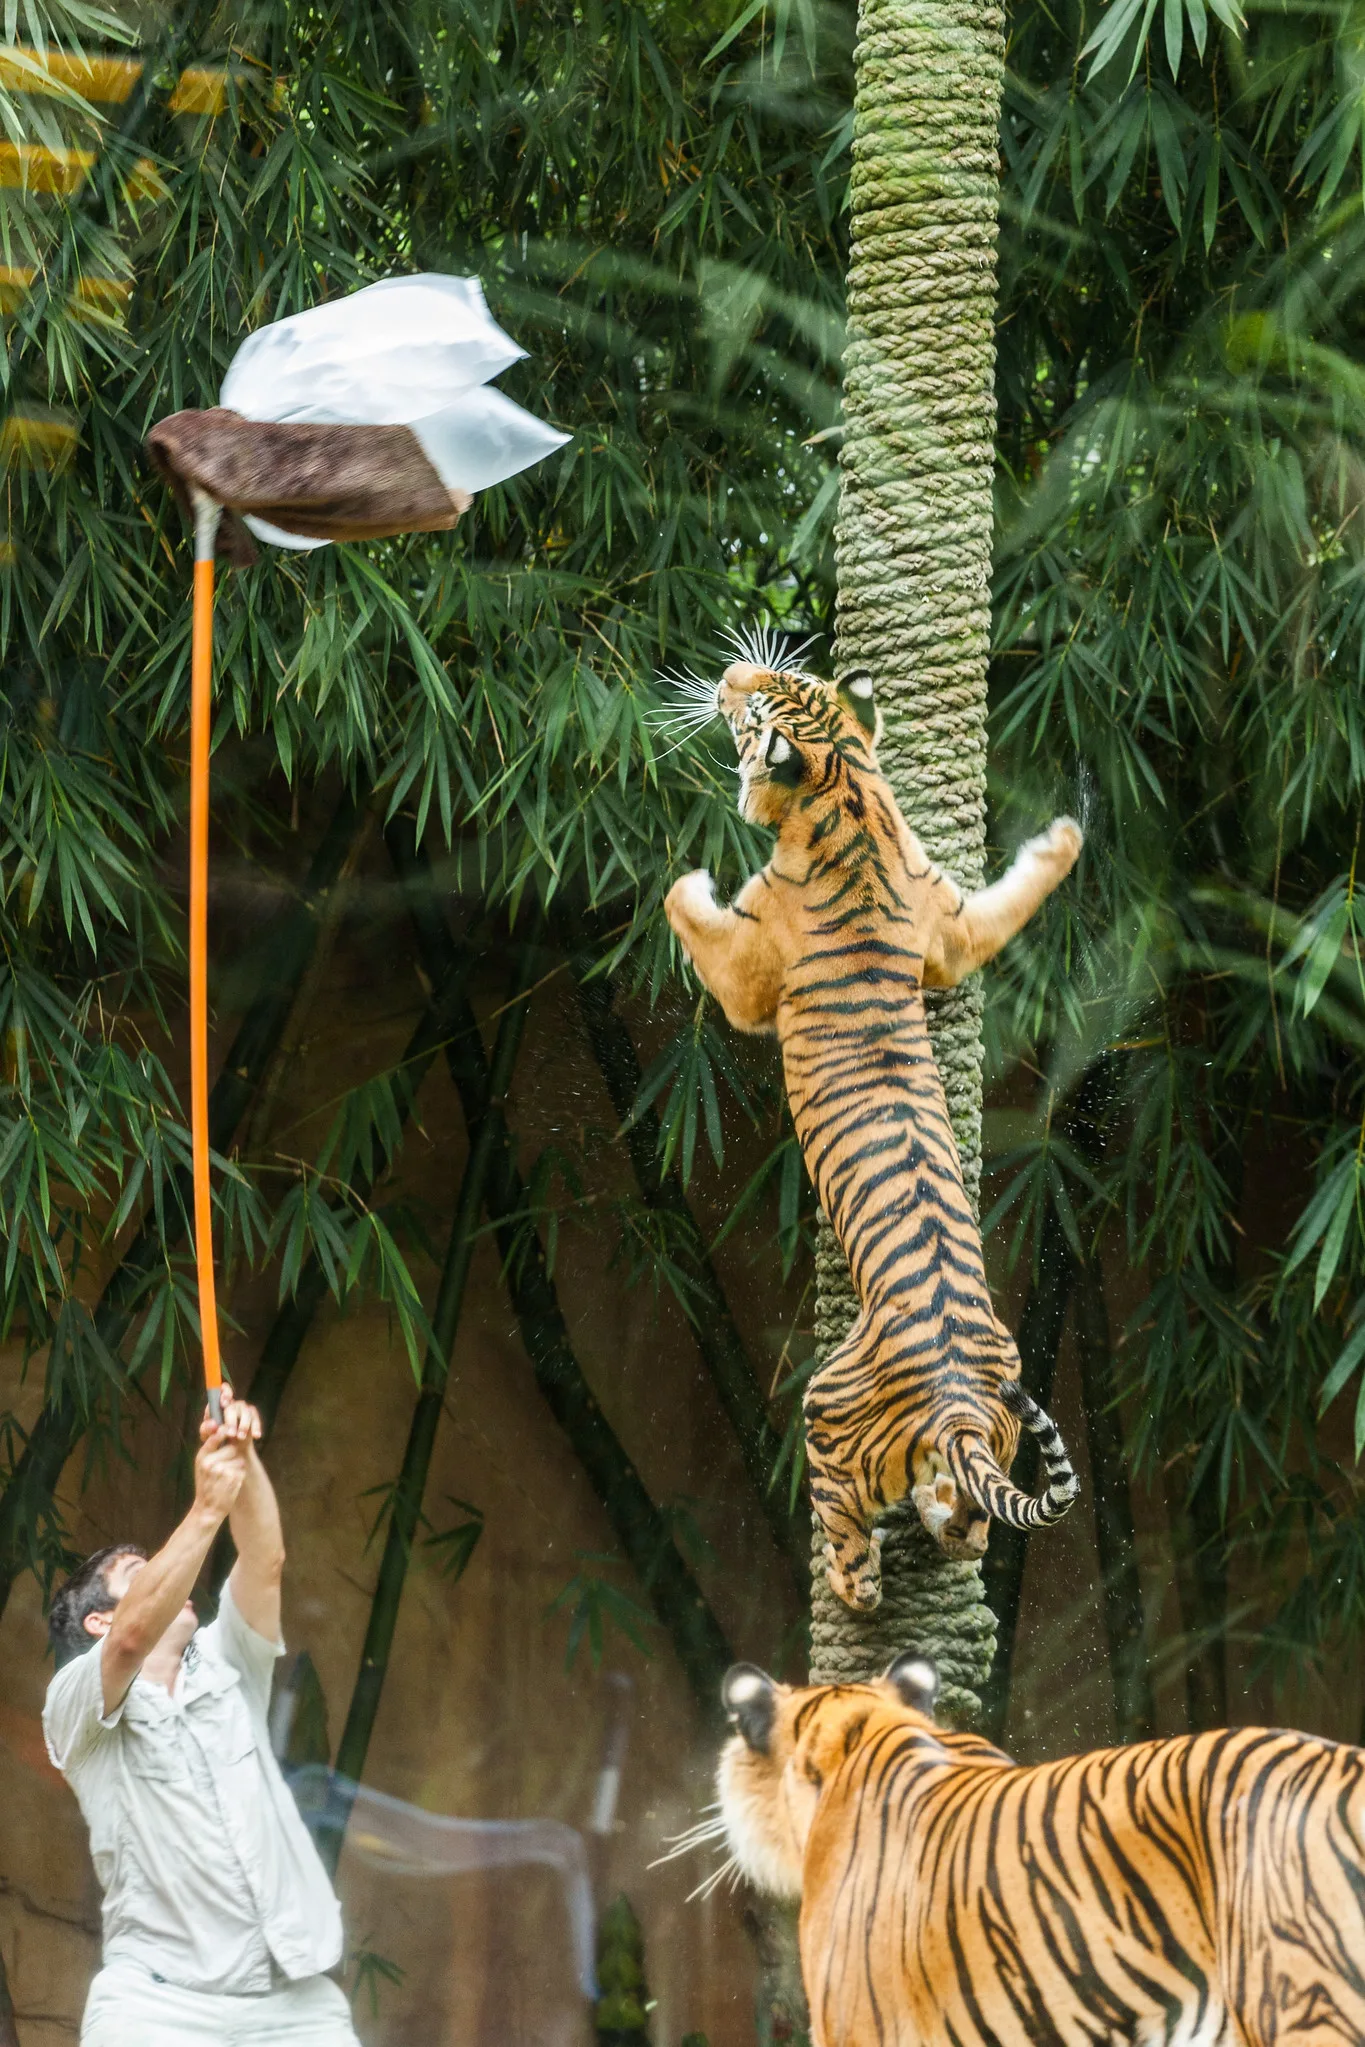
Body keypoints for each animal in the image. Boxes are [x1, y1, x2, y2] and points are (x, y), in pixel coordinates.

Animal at [663, 654, 1082, 1611]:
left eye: (754, 703)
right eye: (780, 672)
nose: (729, 671)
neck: (845, 786)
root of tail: (959, 1404)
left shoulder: (745, 974)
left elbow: (684, 907)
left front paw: (689, 872)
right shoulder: (953, 927)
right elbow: (1014, 898)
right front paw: (1064, 836)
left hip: (825, 1405)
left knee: (854, 1548)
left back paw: (851, 1575)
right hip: (993, 1431)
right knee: (966, 1522)